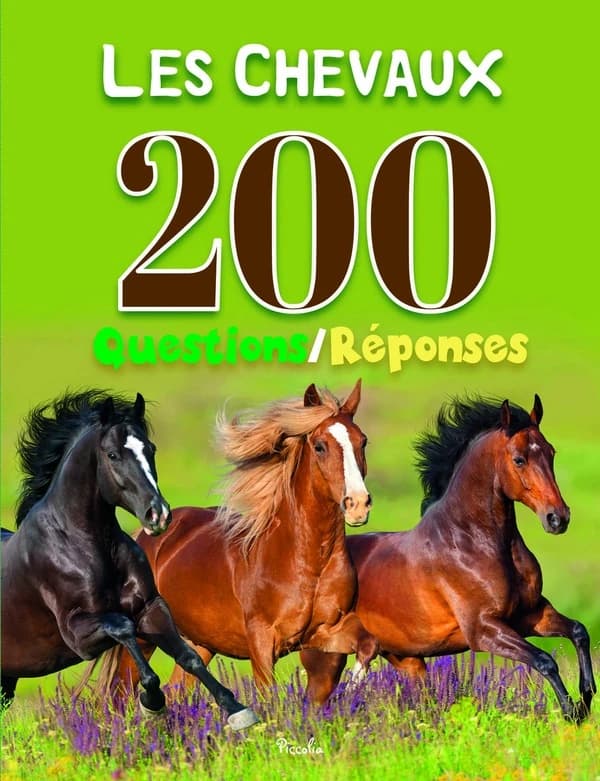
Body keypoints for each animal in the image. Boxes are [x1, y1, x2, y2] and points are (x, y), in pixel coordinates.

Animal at [1, 390, 258, 730]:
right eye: (112, 455)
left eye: (151, 449)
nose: (157, 514)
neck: (86, 545)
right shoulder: (77, 634)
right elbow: (124, 628)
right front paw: (153, 702)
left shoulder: (150, 607)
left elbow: (187, 656)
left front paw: (237, 709)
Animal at [93, 381, 379, 703]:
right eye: (320, 446)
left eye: (362, 441)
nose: (358, 504)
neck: (306, 561)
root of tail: (142, 536)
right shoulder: (262, 641)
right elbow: (268, 696)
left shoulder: (326, 631)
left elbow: (368, 644)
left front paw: (352, 690)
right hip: (143, 637)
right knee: (120, 695)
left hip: (200, 643)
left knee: (178, 688)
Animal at [298, 395, 596, 723]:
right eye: (519, 459)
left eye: (551, 452)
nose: (558, 518)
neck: (472, 542)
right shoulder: (484, 630)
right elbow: (544, 660)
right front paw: (571, 711)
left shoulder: (530, 615)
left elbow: (579, 632)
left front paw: (586, 696)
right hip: (327, 659)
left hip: (407, 659)